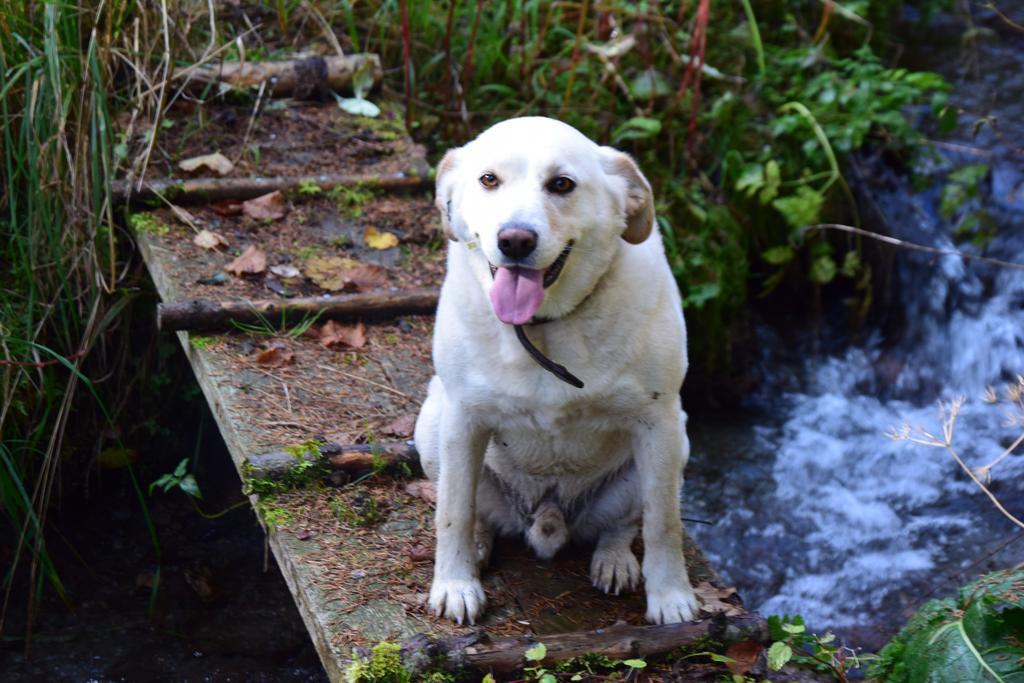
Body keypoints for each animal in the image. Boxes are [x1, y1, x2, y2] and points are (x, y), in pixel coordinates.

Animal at [411, 116, 700, 626]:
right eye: (489, 180)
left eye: (562, 184)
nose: (514, 240)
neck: (541, 328)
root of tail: (547, 519)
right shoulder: (462, 420)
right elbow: (453, 511)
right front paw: (455, 584)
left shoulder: (659, 425)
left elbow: (664, 522)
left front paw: (670, 596)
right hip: (432, 426)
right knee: (472, 510)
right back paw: (479, 546)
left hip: (675, 444)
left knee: (625, 523)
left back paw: (615, 560)